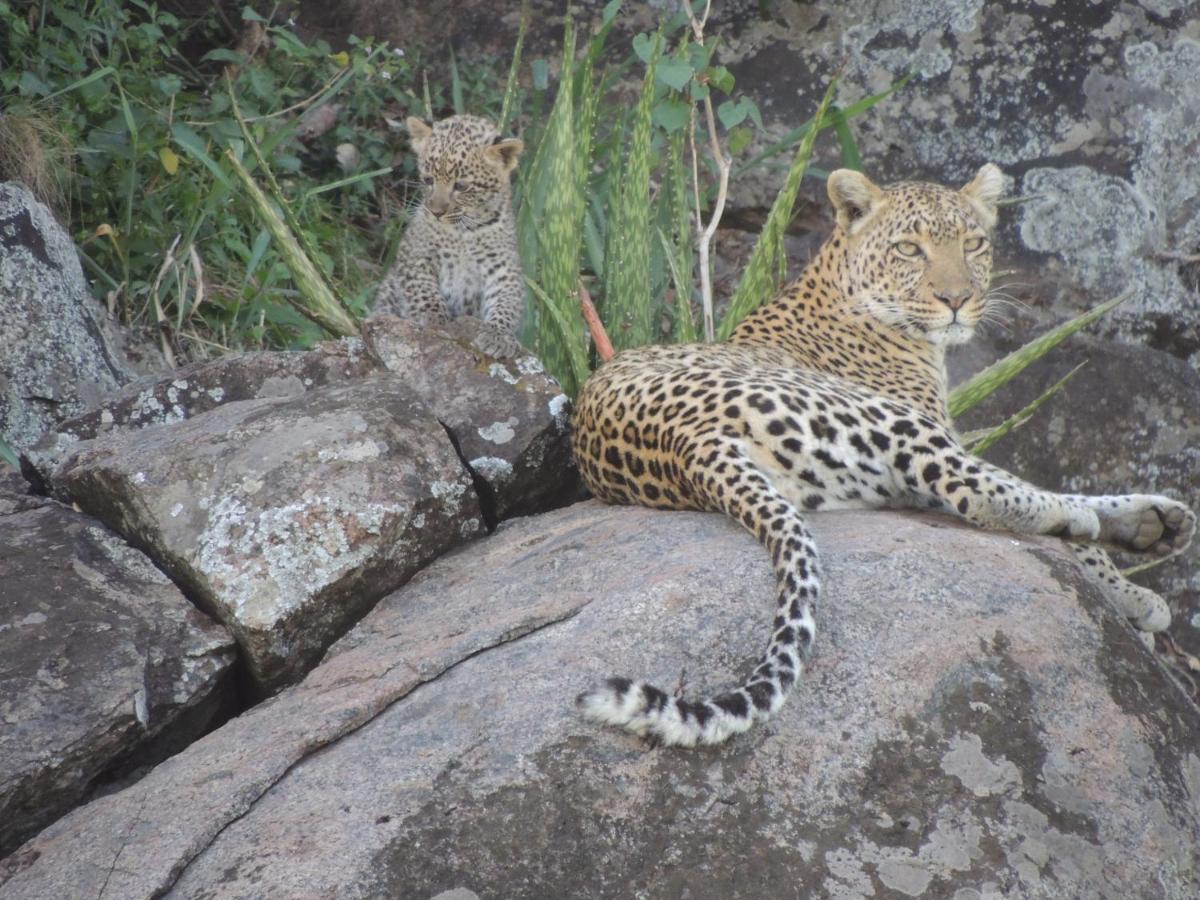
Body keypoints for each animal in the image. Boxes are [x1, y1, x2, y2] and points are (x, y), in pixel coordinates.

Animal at [571, 165, 1190, 748]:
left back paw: (1153, 523)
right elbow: (1054, 529)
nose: (956, 301)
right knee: (989, 493)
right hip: (885, 420)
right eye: (909, 249)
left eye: (973, 244)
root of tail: (687, 444)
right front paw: (1130, 591)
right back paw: (1110, 524)